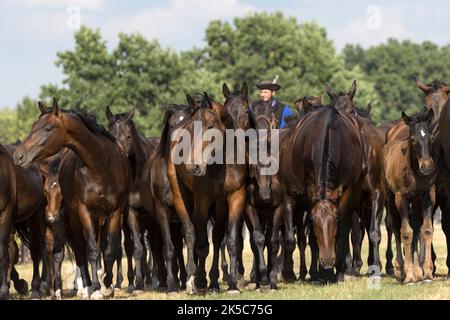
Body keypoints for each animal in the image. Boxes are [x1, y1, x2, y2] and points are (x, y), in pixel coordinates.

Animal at [14, 98, 130, 300]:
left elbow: (109, 250)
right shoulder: (84, 210)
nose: (18, 156)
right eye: (33, 125)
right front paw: (96, 289)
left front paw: (108, 285)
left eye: (48, 128)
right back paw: (87, 287)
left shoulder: (115, 211)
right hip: (76, 217)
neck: (102, 165)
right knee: (80, 249)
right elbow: (91, 250)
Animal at [384, 109, 436, 282]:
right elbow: (405, 232)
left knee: (416, 227)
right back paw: (401, 270)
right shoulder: (401, 197)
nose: (426, 167)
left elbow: (426, 230)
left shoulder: (427, 196)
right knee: (395, 227)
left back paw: (417, 269)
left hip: (417, 202)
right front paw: (409, 276)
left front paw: (426, 273)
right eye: (413, 139)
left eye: (431, 137)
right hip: (390, 199)